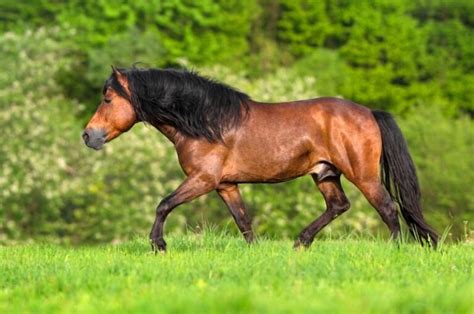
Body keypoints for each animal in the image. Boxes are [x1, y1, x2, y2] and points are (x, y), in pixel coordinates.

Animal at [82, 67, 440, 253]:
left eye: (107, 98)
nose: (88, 136)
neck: (206, 122)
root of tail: (369, 112)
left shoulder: (203, 179)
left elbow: (163, 204)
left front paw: (159, 245)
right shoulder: (226, 185)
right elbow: (243, 221)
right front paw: (254, 254)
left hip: (362, 174)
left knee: (388, 208)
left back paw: (394, 249)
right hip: (325, 173)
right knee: (339, 206)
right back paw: (300, 242)